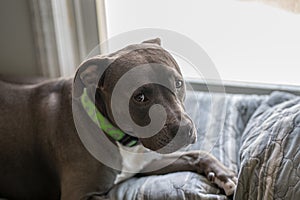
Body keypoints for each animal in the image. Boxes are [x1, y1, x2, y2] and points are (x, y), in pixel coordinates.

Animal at [0, 39, 238, 200]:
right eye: (139, 97)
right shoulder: (78, 194)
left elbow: (198, 154)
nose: (185, 130)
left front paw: (226, 176)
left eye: (178, 83)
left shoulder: (145, 162)